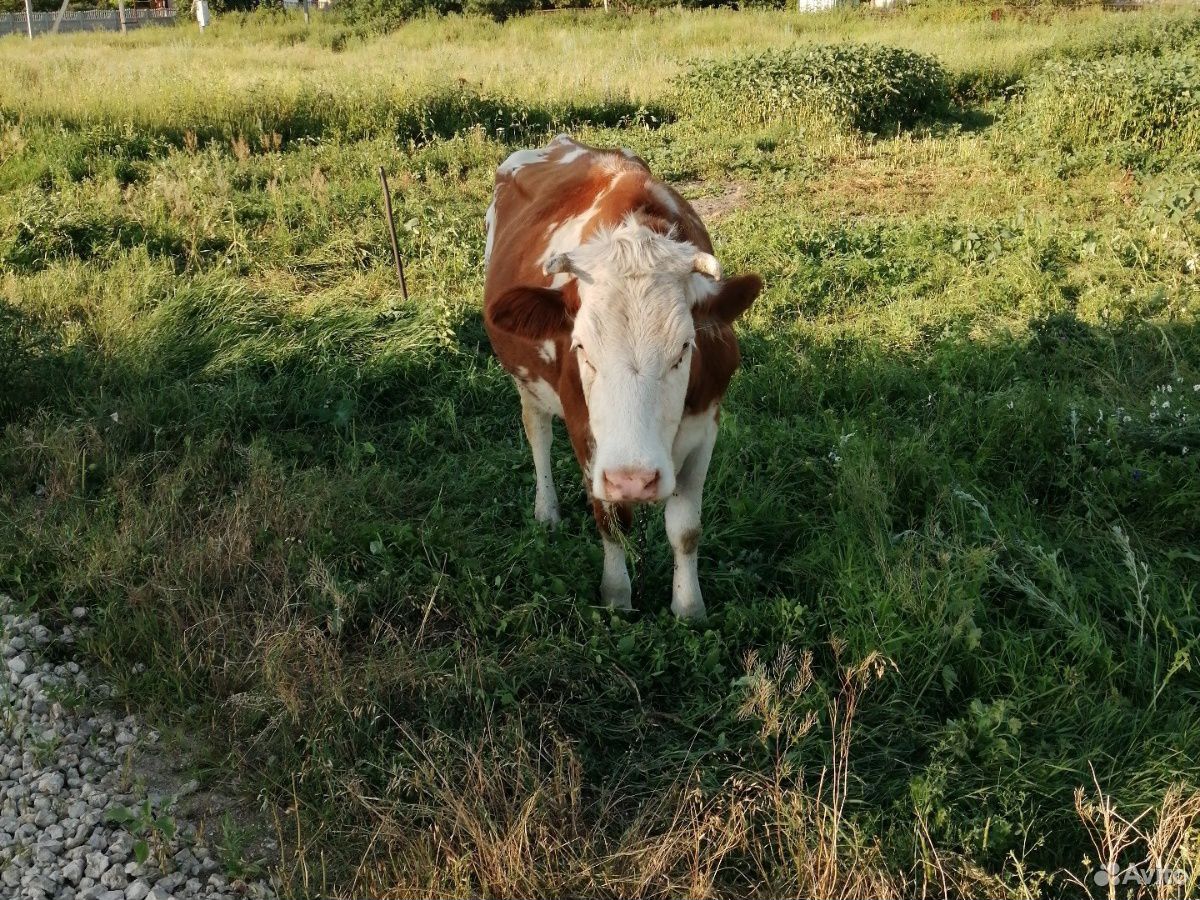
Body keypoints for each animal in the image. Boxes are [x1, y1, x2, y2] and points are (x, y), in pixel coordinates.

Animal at [477, 133, 758, 624]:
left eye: (685, 348)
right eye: (581, 348)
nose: (633, 480)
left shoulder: (706, 425)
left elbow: (686, 529)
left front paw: (689, 607)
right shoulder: (585, 431)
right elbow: (609, 520)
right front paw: (617, 595)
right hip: (525, 381)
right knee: (537, 433)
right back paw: (547, 510)